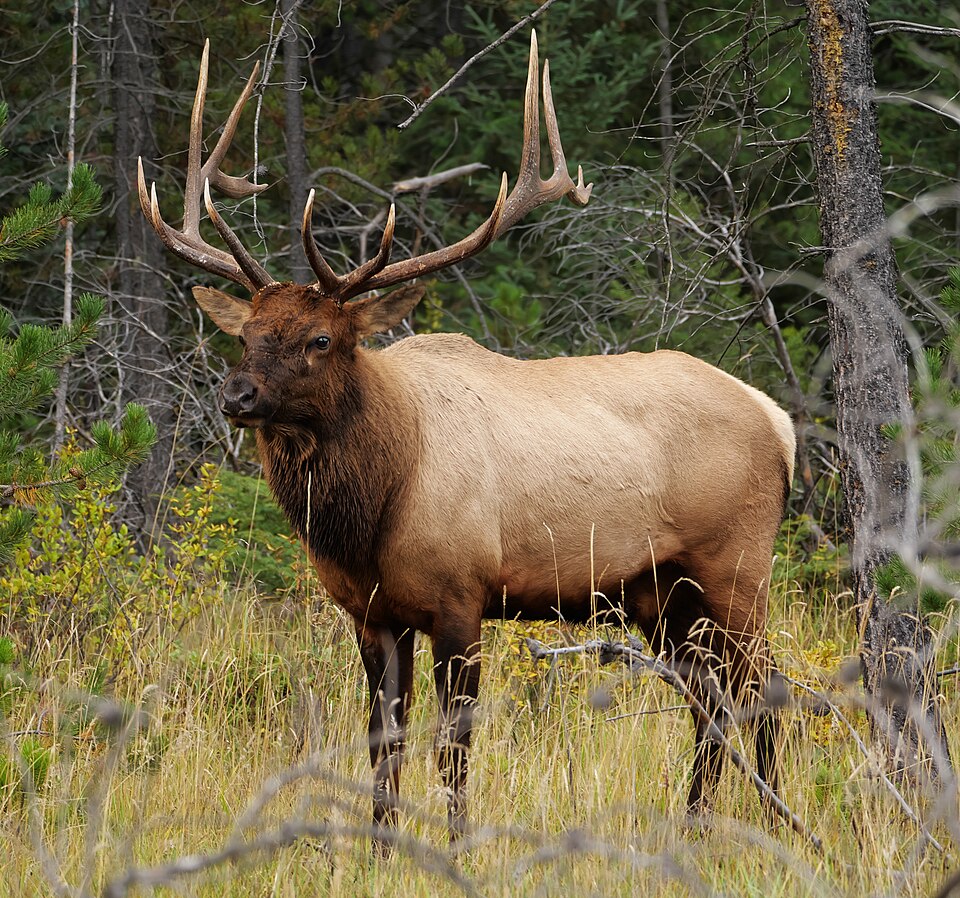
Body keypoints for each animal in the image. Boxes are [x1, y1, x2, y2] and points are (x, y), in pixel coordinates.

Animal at [137, 33, 796, 846]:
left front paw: (455, 843)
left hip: (736, 564)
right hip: (659, 591)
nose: (238, 396)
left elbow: (454, 744)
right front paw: (381, 846)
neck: (373, 507)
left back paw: (774, 825)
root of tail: (778, 421)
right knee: (709, 697)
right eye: (247, 334)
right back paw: (695, 824)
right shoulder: (372, 615)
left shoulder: (461, 597)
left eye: (322, 338)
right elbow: (384, 740)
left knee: (765, 686)